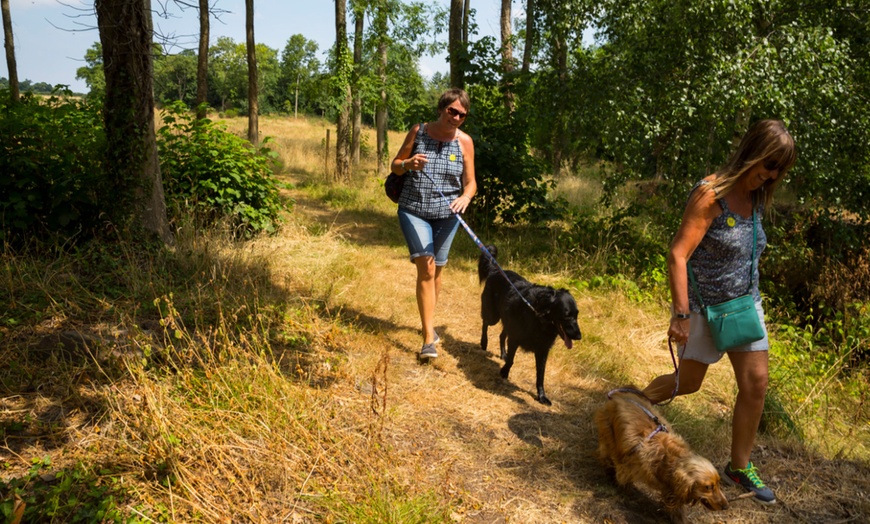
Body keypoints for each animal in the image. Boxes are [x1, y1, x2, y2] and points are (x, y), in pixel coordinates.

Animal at [480, 246, 584, 406]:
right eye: (566, 315)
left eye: (577, 315)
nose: (579, 336)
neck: (539, 317)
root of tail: (495, 270)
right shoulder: (516, 338)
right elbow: (512, 360)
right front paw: (504, 372)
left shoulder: (542, 350)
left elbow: (540, 375)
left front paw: (541, 396)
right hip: (493, 316)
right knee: (485, 323)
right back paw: (484, 343)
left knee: (502, 335)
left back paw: (503, 354)